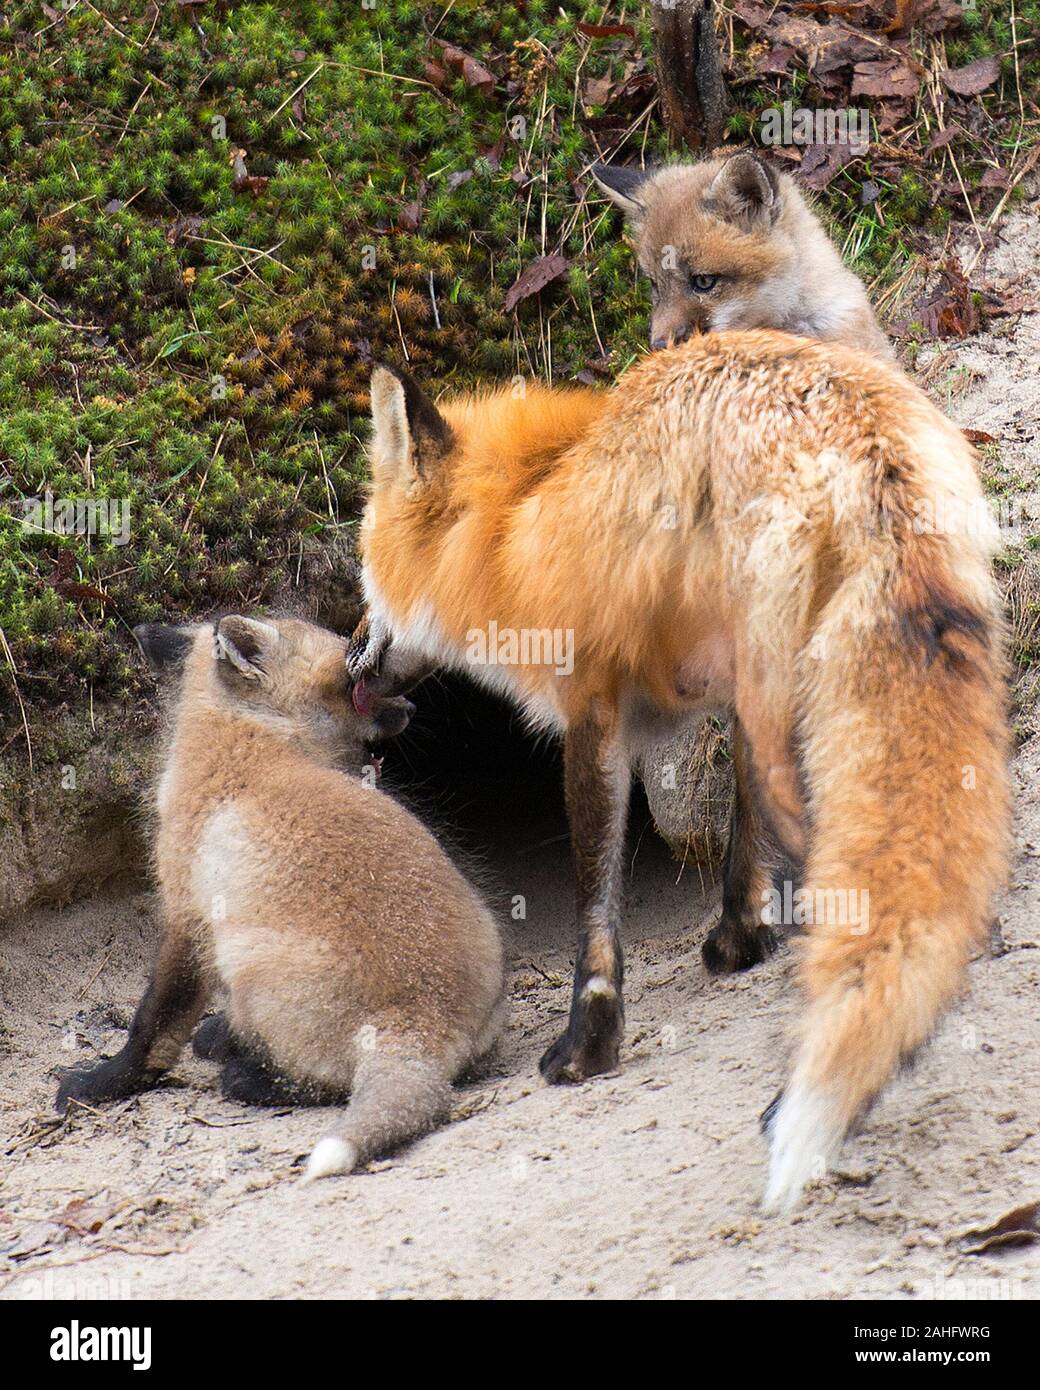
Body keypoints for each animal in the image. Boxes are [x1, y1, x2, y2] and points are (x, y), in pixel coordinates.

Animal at [55, 614, 506, 1183]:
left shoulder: (188, 918)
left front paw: (101, 1083)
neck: (248, 740)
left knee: (312, 1082)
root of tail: (422, 1024)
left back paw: (245, 1075)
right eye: (351, 682)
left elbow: (152, 1027)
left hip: (249, 963)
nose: (412, 707)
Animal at [348, 338, 1010, 1209]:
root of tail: (861, 443)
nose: (348, 652)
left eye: (363, 565)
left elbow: (597, 903)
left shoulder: (593, 708)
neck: (525, 508)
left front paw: (588, 1045)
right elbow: (742, 841)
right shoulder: (728, 697)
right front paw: (739, 939)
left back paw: (790, 1105)